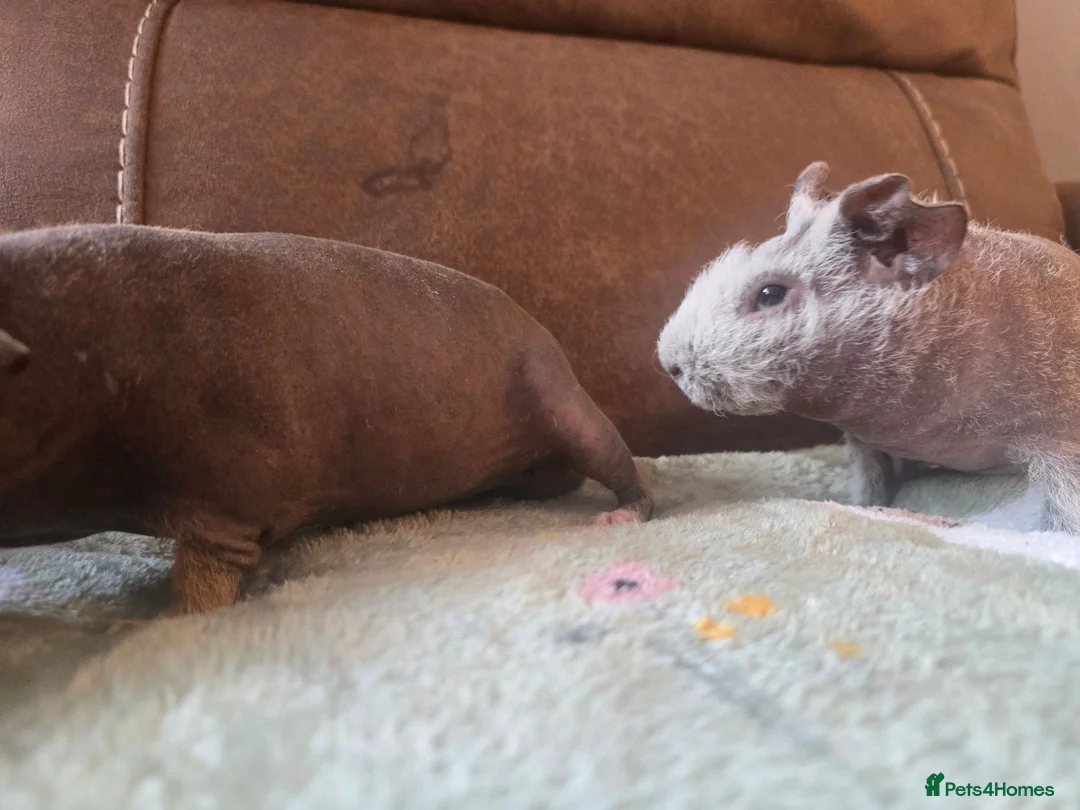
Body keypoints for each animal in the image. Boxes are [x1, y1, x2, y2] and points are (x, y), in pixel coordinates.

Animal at [0, 224, 652, 614]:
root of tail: (542, 329)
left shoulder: (223, 503)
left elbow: (203, 587)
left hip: (561, 400)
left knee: (623, 466)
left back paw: (619, 514)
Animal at [657, 161, 1080, 534]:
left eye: (769, 294)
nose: (669, 363)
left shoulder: (1055, 446)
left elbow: (1064, 508)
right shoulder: (866, 447)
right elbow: (871, 488)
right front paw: (870, 507)